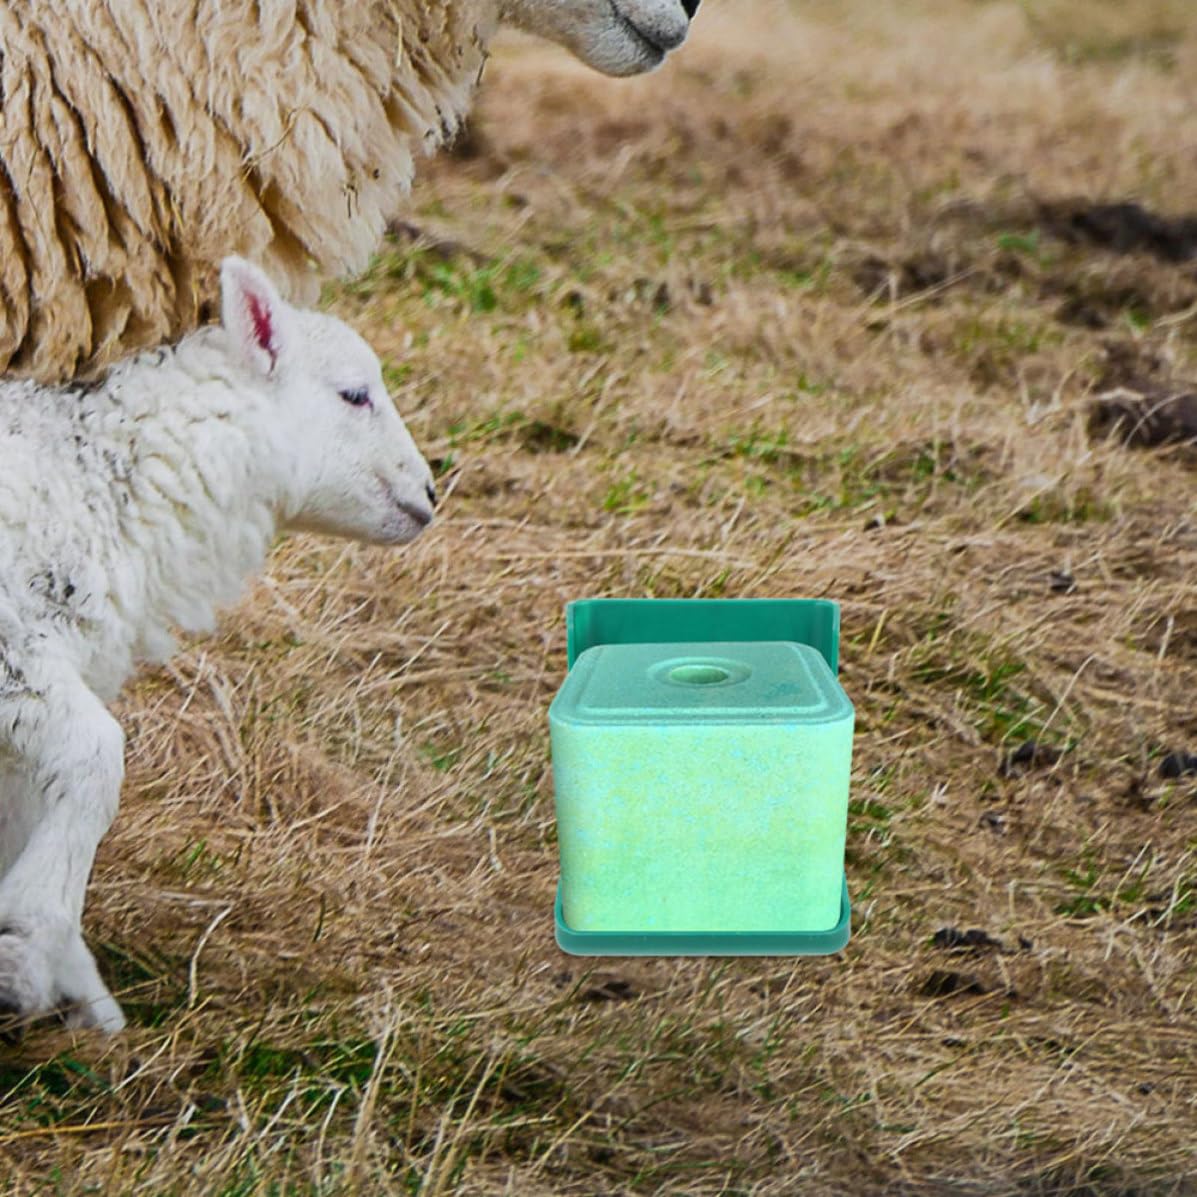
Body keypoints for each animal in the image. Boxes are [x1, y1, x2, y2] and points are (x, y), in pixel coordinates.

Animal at [0, 256, 436, 1034]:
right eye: (355, 394)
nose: (429, 494)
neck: (97, 478)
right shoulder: (17, 649)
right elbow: (96, 760)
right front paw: (30, 938)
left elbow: (31, 807)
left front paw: (80, 994)